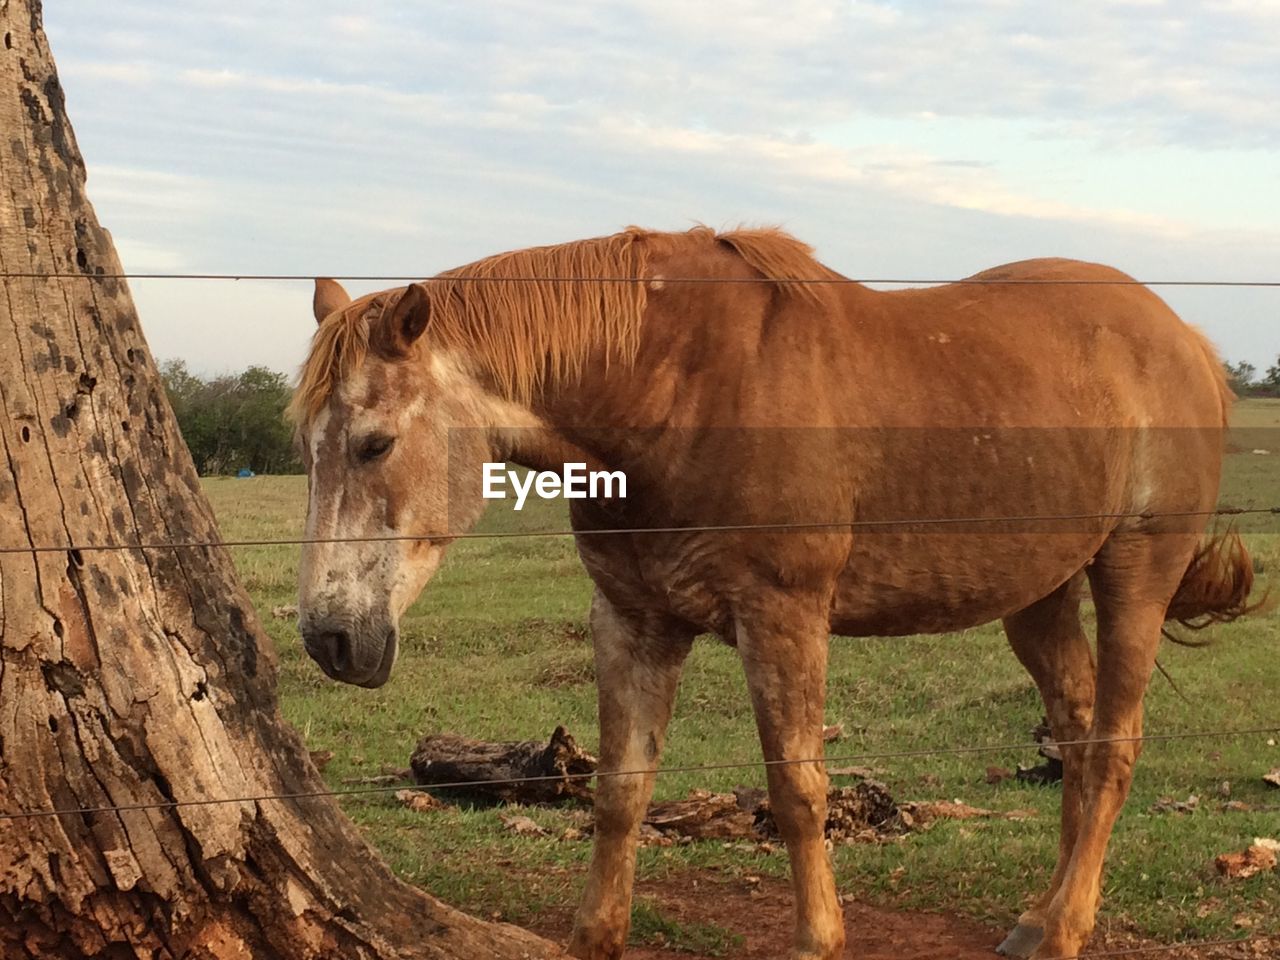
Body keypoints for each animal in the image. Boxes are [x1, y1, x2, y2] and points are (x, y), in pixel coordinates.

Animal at [288, 229, 1249, 960]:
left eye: (375, 444)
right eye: (306, 446)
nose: (330, 638)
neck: (677, 388)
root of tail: (1185, 339)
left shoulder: (781, 616)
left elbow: (798, 788)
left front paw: (819, 938)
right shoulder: (632, 621)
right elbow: (620, 791)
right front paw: (596, 934)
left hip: (1135, 575)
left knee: (1114, 747)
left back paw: (1064, 930)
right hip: (1038, 596)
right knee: (1078, 739)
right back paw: (1042, 917)